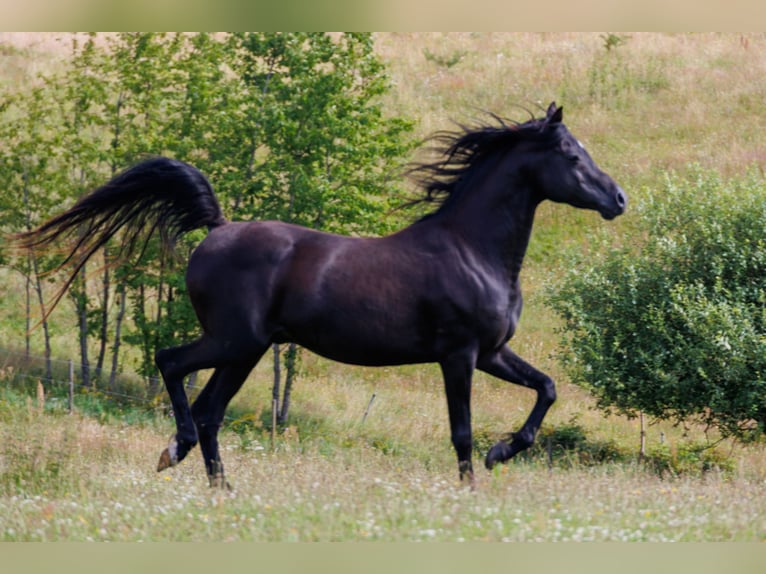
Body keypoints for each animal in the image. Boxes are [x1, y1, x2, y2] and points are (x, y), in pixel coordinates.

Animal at [16, 103, 626, 487]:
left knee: (211, 411)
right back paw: (177, 450)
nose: (617, 199)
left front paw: (503, 453)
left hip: (246, 351)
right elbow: (461, 432)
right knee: (172, 366)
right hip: (235, 341)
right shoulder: (459, 355)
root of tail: (217, 227)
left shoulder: (493, 352)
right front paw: (473, 484)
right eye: (572, 157)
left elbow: (546, 388)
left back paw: (220, 488)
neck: (471, 249)